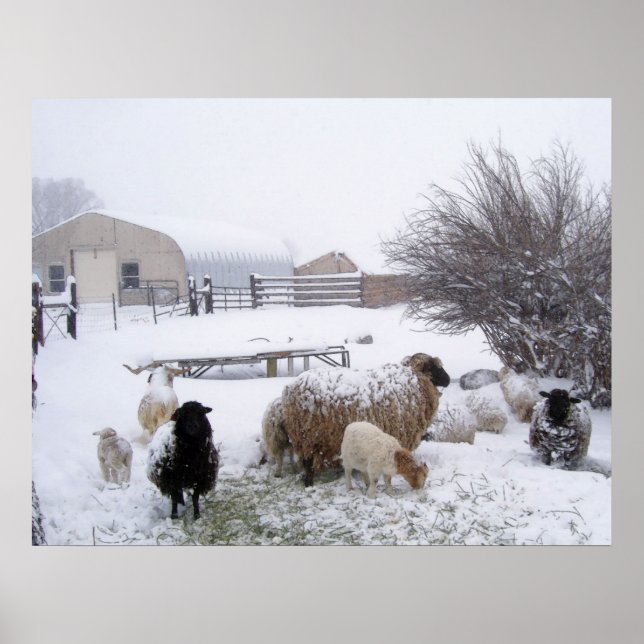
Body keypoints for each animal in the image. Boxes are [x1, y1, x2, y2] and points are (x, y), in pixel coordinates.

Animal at [281, 353, 450, 486]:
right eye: (436, 367)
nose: (448, 380)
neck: (415, 380)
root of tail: (291, 390)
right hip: (310, 437)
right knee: (308, 463)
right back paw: (309, 483)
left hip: (303, 437)